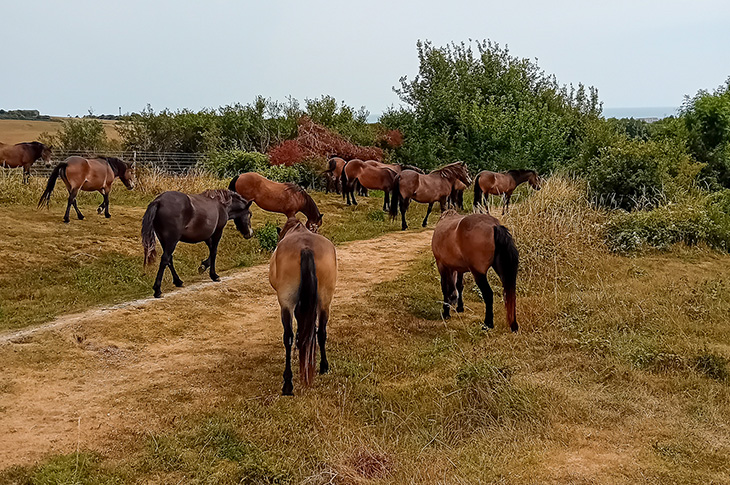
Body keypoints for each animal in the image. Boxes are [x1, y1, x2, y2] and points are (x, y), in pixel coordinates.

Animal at [269, 217, 337, 395]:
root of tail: (305, 248)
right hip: (325, 300)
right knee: (321, 332)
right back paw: (324, 366)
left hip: (285, 302)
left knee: (288, 337)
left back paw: (287, 383)